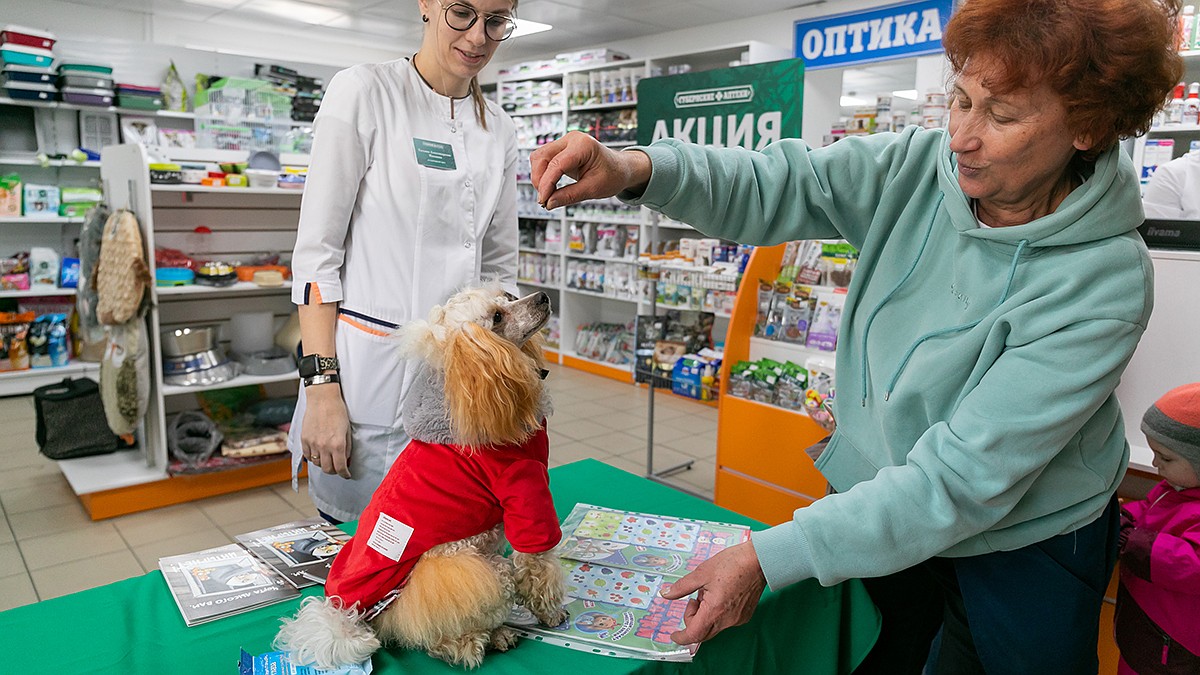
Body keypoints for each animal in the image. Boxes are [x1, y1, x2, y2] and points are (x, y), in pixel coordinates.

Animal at [276, 284, 566, 667]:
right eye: (497, 318)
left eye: (507, 295)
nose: (544, 297)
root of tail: (348, 615)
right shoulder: (524, 489)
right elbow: (539, 565)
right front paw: (553, 614)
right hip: (477, 571)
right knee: (440, 637)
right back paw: (484, 640)